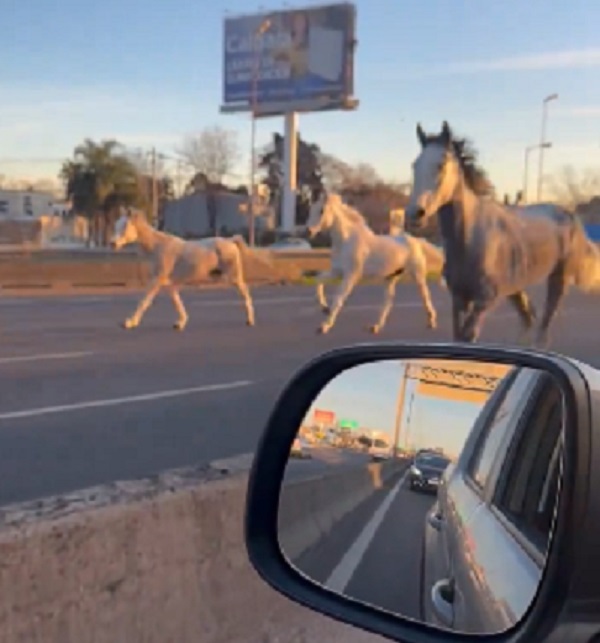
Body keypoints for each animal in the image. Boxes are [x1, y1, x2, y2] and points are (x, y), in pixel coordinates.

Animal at [110, 210, 264, 332]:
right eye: (116, 225)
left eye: (125, 226)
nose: (112, 243)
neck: (157, 246)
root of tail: (230, 241)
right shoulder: (169, 285)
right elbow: (177, 303)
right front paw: (180, 323)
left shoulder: (157, 280)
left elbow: (144, 300)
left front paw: (129, 323)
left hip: (234, 277)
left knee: (245, 293)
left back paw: (250, 320)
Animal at [308, 191, 442, 338]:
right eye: (312, 209)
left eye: (321, 210)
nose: (309, 231)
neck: (346, 241)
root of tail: (416, 241)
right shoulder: (336, 272)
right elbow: (318, 280)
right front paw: (324, 308)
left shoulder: (351, 276)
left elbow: (338, 299)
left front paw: (324, 326)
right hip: (391, 277)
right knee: (388, 302)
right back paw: (375, 327)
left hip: (417, 275)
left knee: (425, 295)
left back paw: (431, 322)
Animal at [404, 121, 600, 348]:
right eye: (414, 165)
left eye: (441, 164)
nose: (414, 214)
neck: (471, 239)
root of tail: (570, 215)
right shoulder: (460, 299)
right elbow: (458, 336)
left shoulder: (486, 300)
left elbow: (468, 335)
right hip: (516, 287)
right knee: (528, 318)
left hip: (559, 279)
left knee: (544, 327)